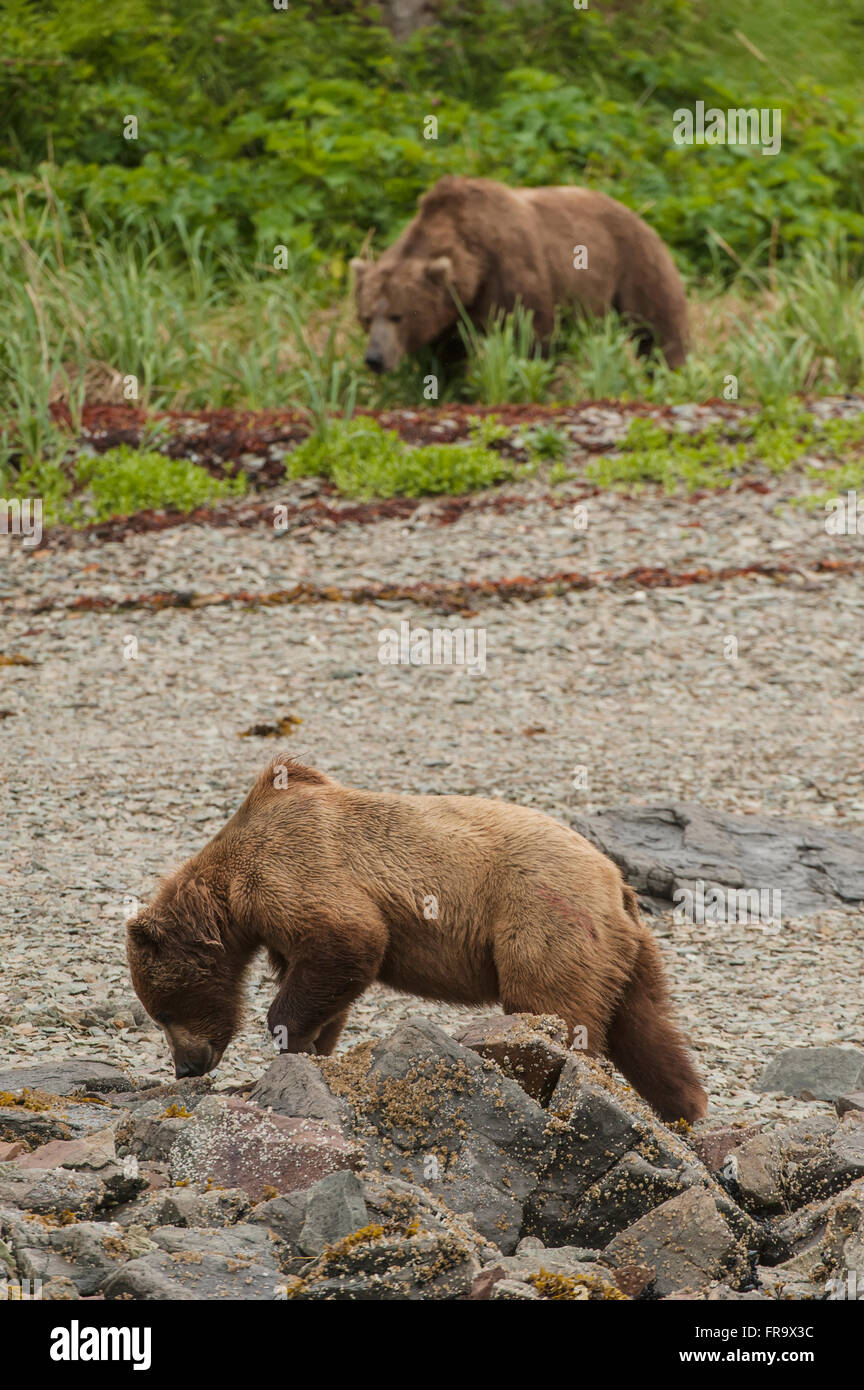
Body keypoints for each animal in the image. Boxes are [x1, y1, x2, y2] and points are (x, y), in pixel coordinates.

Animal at [128, 756, 711, 1123]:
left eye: (162, 1010)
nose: (186, 1066)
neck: (230, 899)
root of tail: (615, 881)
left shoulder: (295, 872)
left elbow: (350, 942)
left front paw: (287, 1043)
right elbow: (328, 983)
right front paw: (315, 1049)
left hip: (546, 921)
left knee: (553, 1007)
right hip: (625, 952)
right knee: (647, 1028)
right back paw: (684, 1109)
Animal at [352, 176, 691, 378]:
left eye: (398, 315)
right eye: (366, 317)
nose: (374, 358)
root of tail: (638, 214)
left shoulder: (510, 269)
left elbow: (530, 332)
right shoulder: (451, 313)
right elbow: (446, 353)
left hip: (634, 264)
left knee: (657, 326)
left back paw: (669, 370)